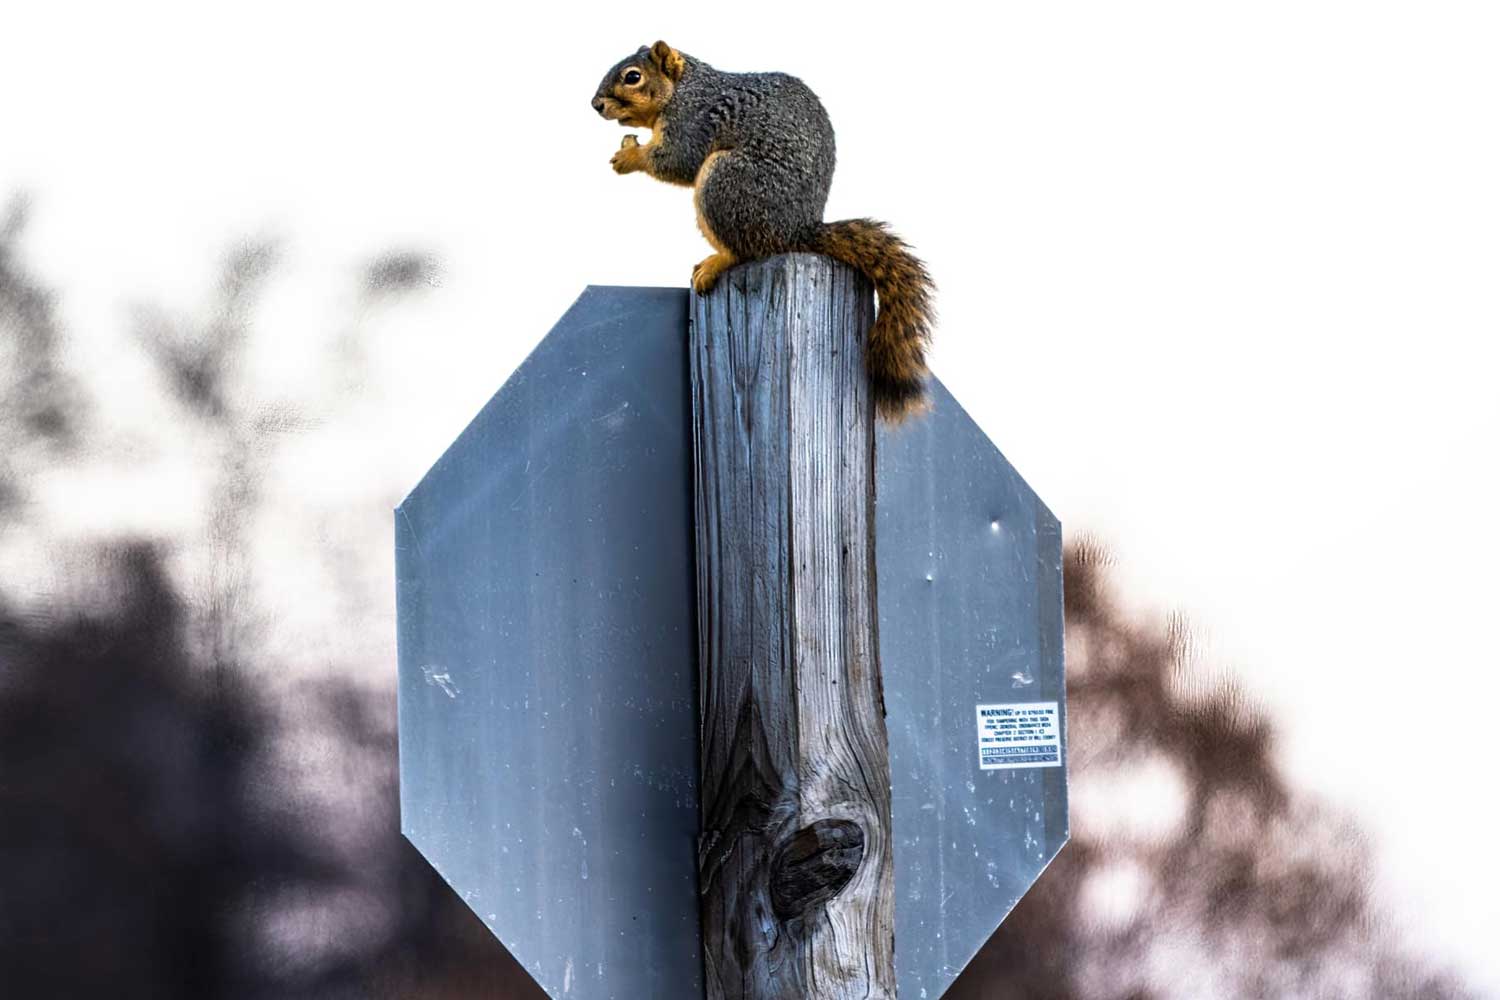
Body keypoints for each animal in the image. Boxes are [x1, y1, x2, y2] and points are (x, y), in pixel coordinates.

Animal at [591, 40, 930, 419]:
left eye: (632, 77)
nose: (596, 104)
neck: (683, 89)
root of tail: (798, 230)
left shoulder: (692, 122)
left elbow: (678, 161)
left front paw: (629, 156)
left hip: (725, 184)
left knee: (746, 249)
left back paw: (716, 263)